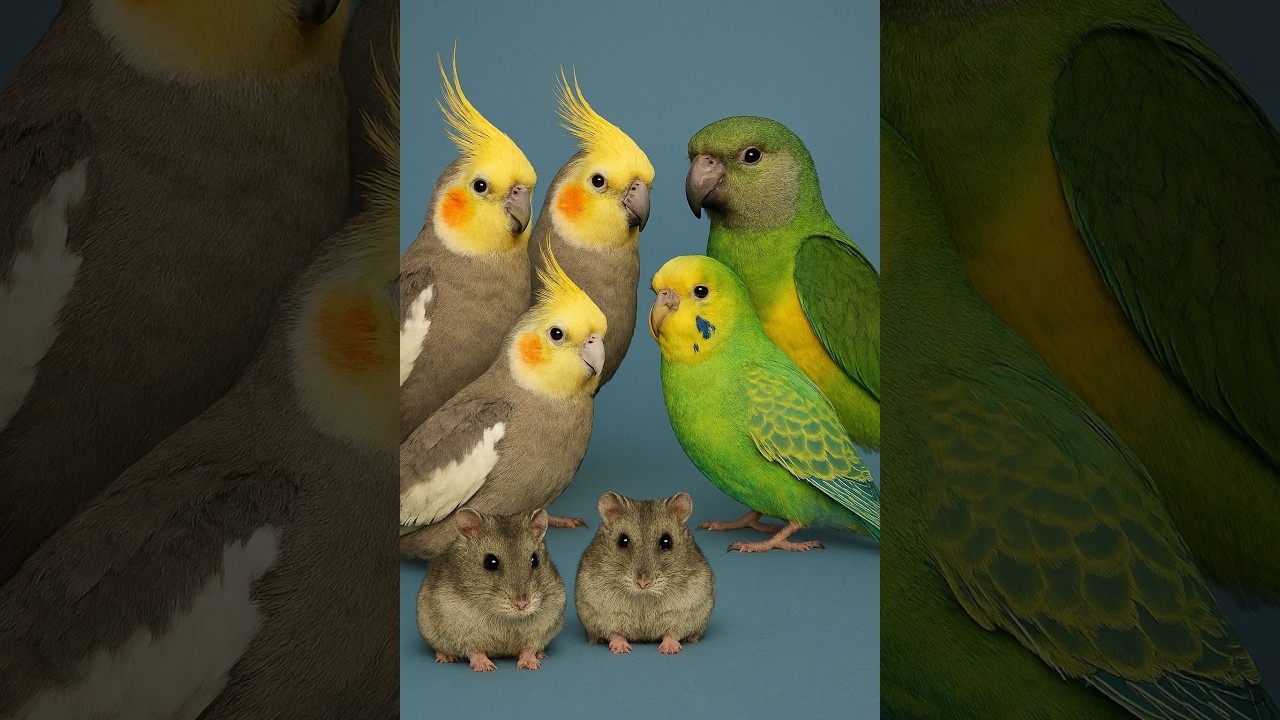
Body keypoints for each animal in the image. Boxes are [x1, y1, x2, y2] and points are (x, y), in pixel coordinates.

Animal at [417, 508, 566, 671]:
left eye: (535, 560)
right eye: (491, 562)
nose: (522, 604)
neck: (506, 617)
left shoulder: (541, 630)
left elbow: (528, 649)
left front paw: (531, 664)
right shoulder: (463, 633)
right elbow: (475, 652)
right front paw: (485, 667)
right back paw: (446, 657)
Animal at [575, 492, 715, 654]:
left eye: (667, 541)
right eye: (623, 540)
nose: (643, 583)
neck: (643, 596)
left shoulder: (685, 612)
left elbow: (672, 633)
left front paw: (669, 649)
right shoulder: (602, 615)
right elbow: (615, 633)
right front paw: (621, 649)